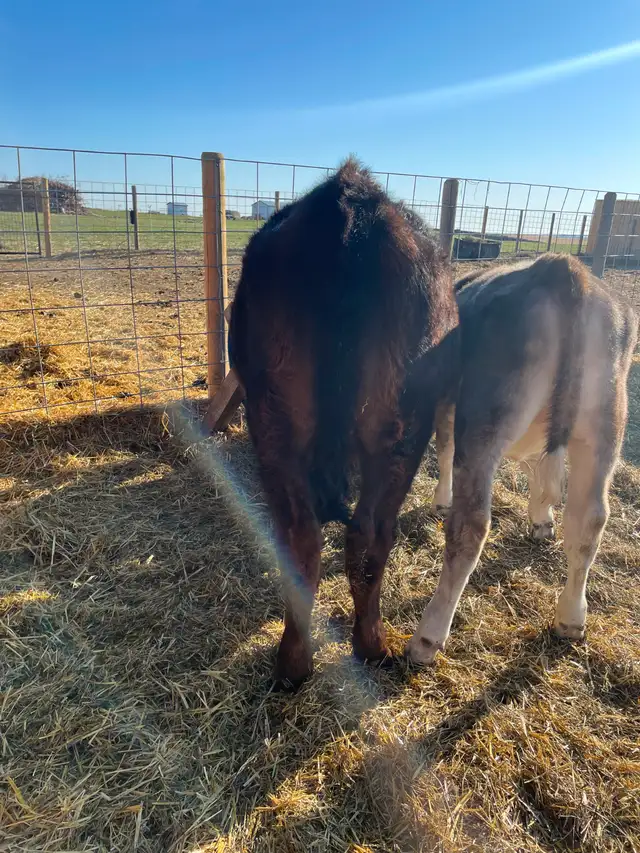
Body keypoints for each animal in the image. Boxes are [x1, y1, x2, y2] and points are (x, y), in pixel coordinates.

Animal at [229, 158, 458, 687]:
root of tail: (349, 204)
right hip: (393, 429)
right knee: (357, 536)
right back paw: (352, 650)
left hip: (280, 420)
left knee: (315, 538)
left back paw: (312, 660)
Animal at [406, 254, 638, 665]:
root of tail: (560, 266)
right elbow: (538, 473)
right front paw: (541, 519)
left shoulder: (446, 402)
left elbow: (445, 449)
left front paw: (441, 500)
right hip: (605, 424)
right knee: (589, 520)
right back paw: (571, 618)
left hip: (485, 418)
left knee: (470, 526)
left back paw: (427, 637)